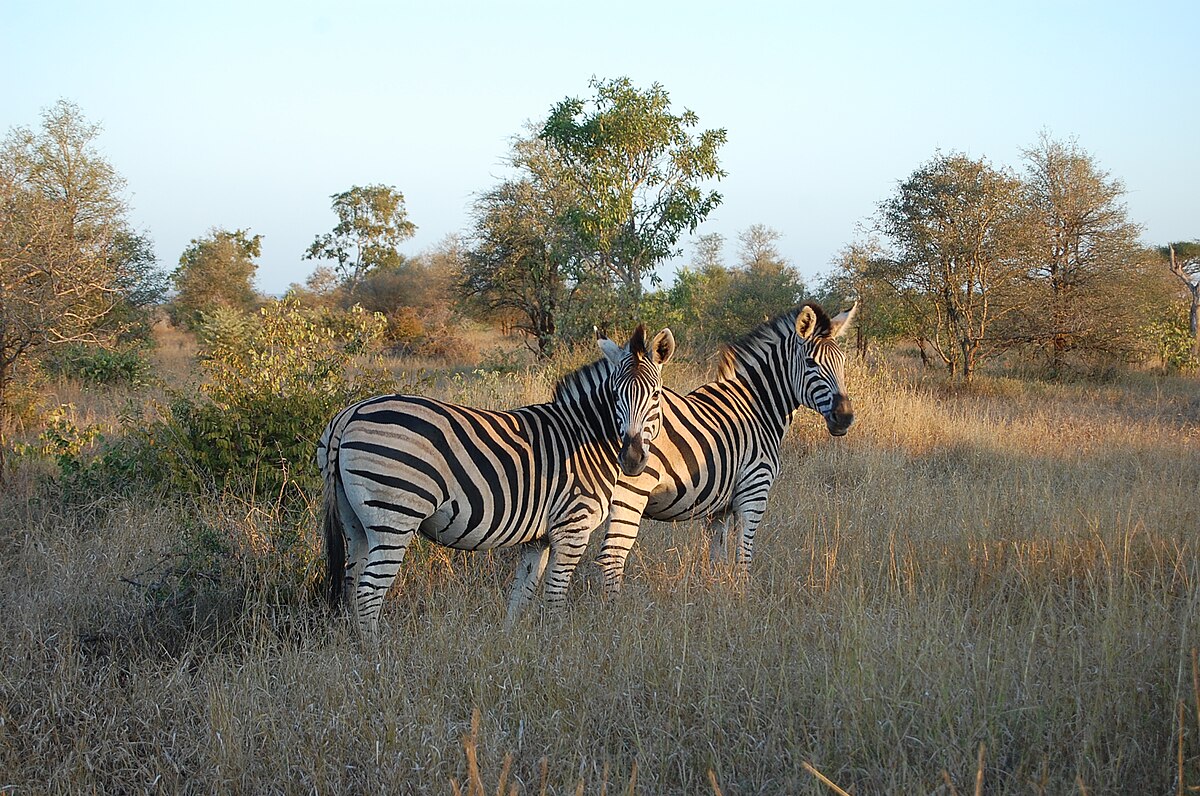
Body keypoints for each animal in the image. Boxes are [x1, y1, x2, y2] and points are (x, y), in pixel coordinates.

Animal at [316, 324, 676, 633]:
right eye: (615, 395)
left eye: (656, 395)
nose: (631, 459)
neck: (585, 435)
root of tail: (349, 414)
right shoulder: (572, 527)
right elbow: (555, 596)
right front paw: (558, 643)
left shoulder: (539, 538)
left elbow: (521, 594)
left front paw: (512, 642)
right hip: (394, 517)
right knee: (368, 592)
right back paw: (375, 655)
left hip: (355, 521)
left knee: (351, 583)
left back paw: (354, 647)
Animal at [597, 300, 859, 590]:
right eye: (811, 363)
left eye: (842, 362)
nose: (844, 417)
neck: (757, 407)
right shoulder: (753, 492)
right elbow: (743, 556)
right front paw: (742, 596)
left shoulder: (718, 508)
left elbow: (717, 558)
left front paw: (716, 593)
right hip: (630, 493)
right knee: (611, 557)